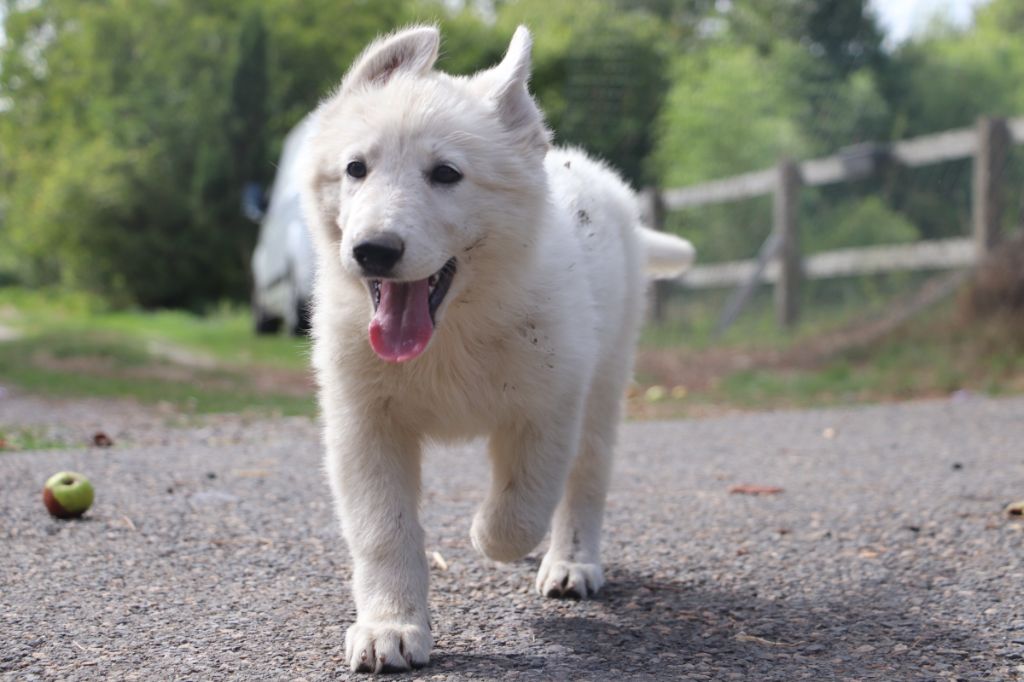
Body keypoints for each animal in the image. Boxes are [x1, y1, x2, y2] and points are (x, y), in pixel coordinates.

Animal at [301, 25, 695, 673]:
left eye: (446, 174)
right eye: (356, 168)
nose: (372, 250)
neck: (454, 327)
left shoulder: (548, 407)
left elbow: (522, 506)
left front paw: (486, 536)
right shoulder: (363, 424)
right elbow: (385, 531)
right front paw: (391, 627)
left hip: (606, 382)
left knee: (585, 480)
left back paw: (571, 563)